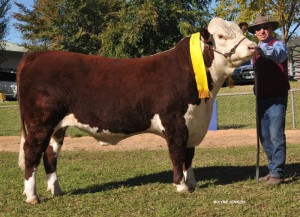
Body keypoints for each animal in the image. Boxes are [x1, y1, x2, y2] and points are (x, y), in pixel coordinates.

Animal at [17, 17, 255, 203]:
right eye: (221, 36)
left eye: (240, 30)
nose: (253, 47)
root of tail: (35, 56)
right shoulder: (175, 122)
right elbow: (177, 154)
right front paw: (181, 186)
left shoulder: (193, 123)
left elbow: (189, 155)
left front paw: (192, 183)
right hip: (40, 122)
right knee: (31, 152)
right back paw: (32, 196)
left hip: (58, 127)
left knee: (50, 155)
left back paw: (56, 190)